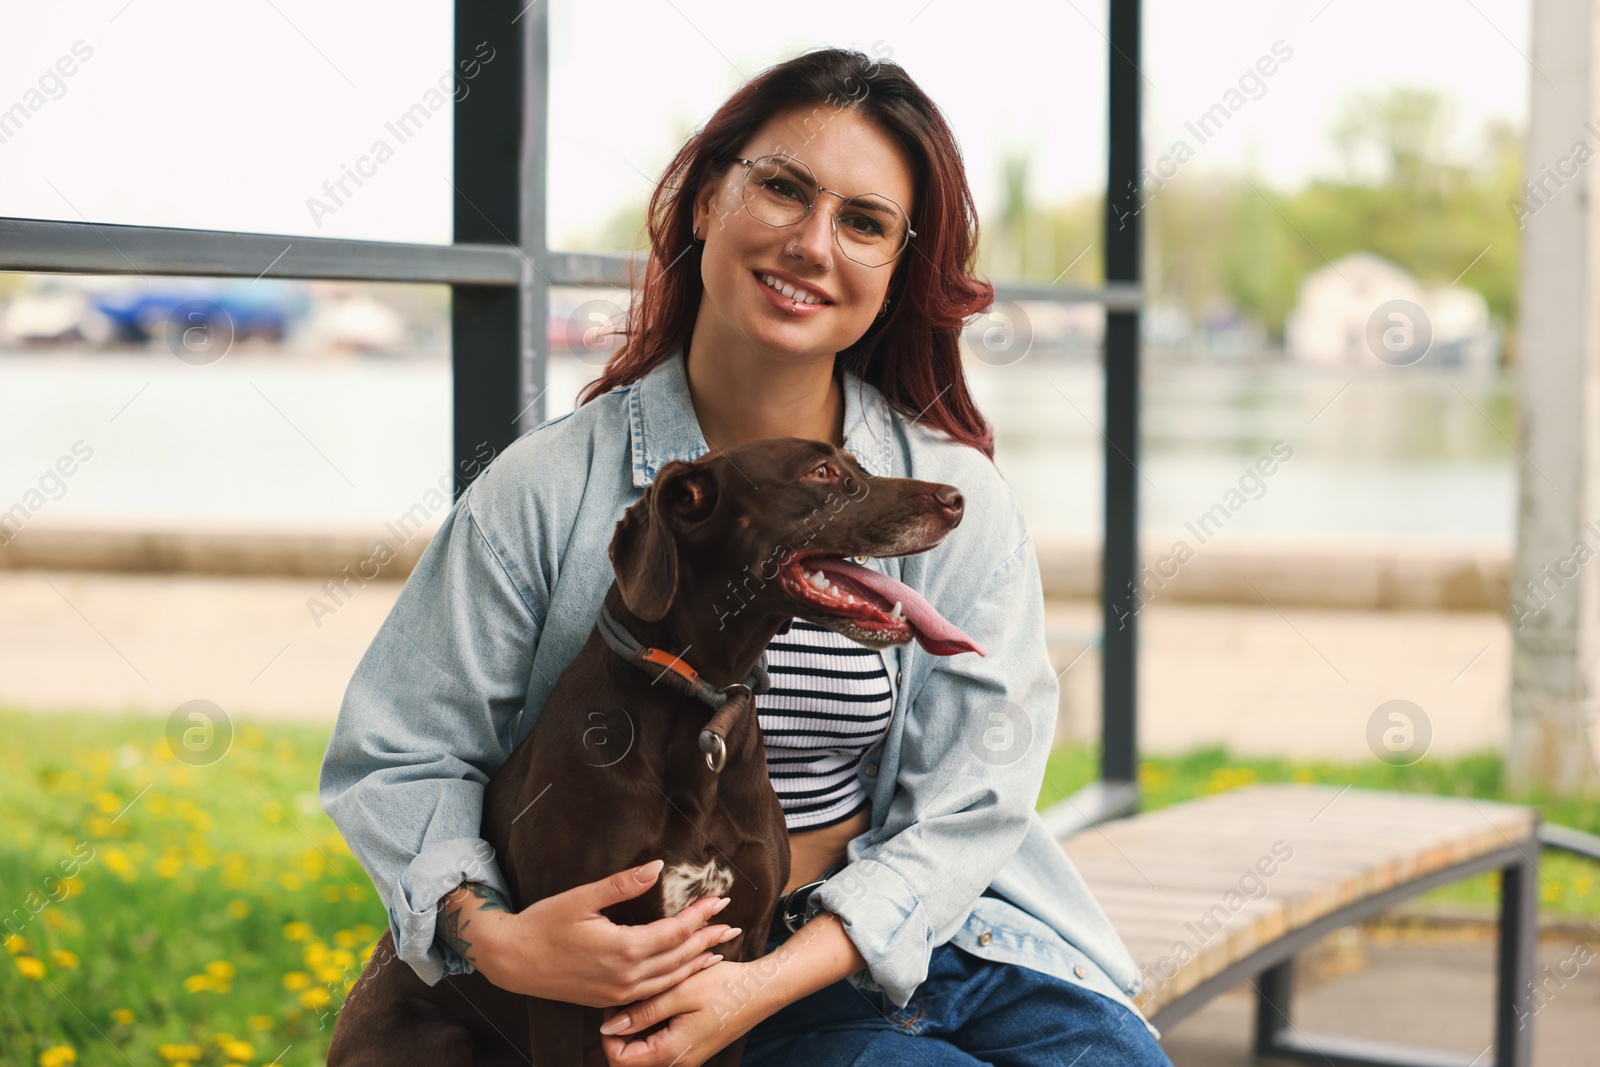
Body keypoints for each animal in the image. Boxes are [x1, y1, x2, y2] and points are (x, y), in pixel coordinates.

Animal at [324, 438, 979, 1062]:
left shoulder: (738, 962)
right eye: (819, 473)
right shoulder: (561, 970)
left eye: (857, 464)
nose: (956, 499)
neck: (699, 701)